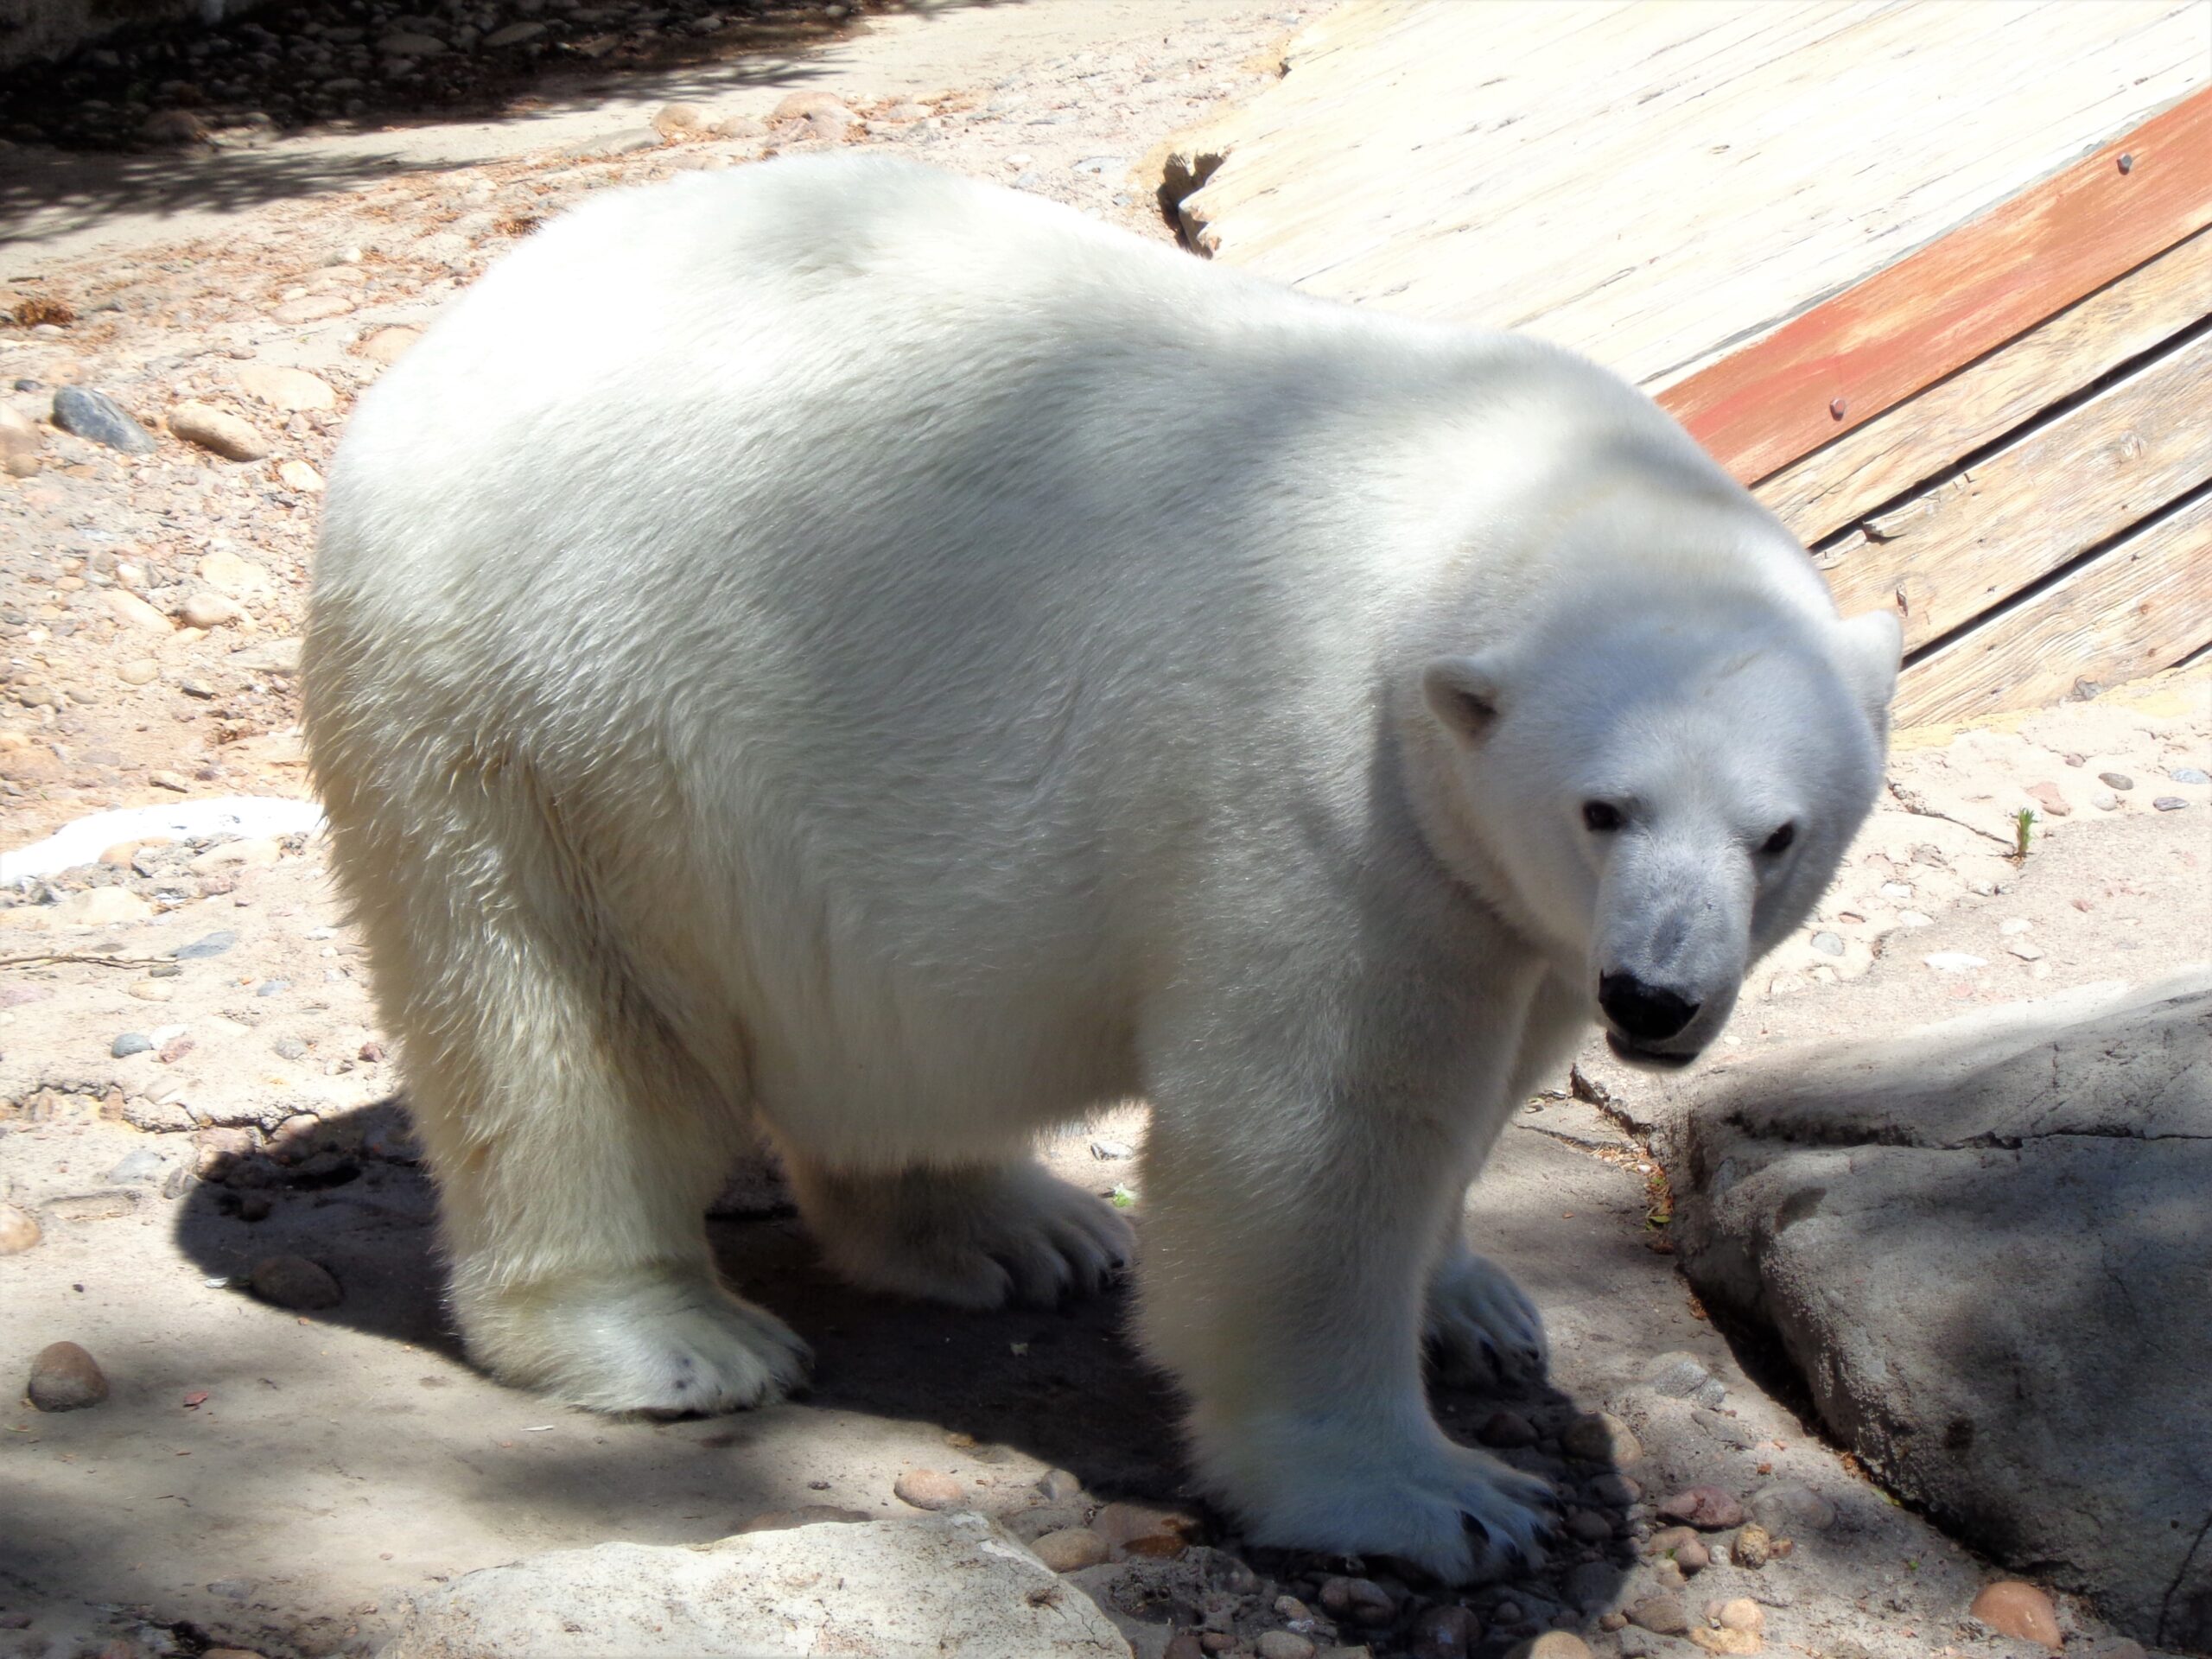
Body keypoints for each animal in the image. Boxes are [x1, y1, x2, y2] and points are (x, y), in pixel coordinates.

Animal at [298, 156, 1902, 1583]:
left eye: (1778, 834)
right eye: (1603, 807)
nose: (1658, 999)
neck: (1503, 501)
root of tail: (452, 335)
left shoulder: (1505, 903)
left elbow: (1487, 1083)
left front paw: (1479, 1309)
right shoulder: (1326, 793)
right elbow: (1317, 1138)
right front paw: (1437, 1498)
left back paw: (1016, 1234)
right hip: (538, 718)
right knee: (559, 1028)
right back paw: (675, 1337)